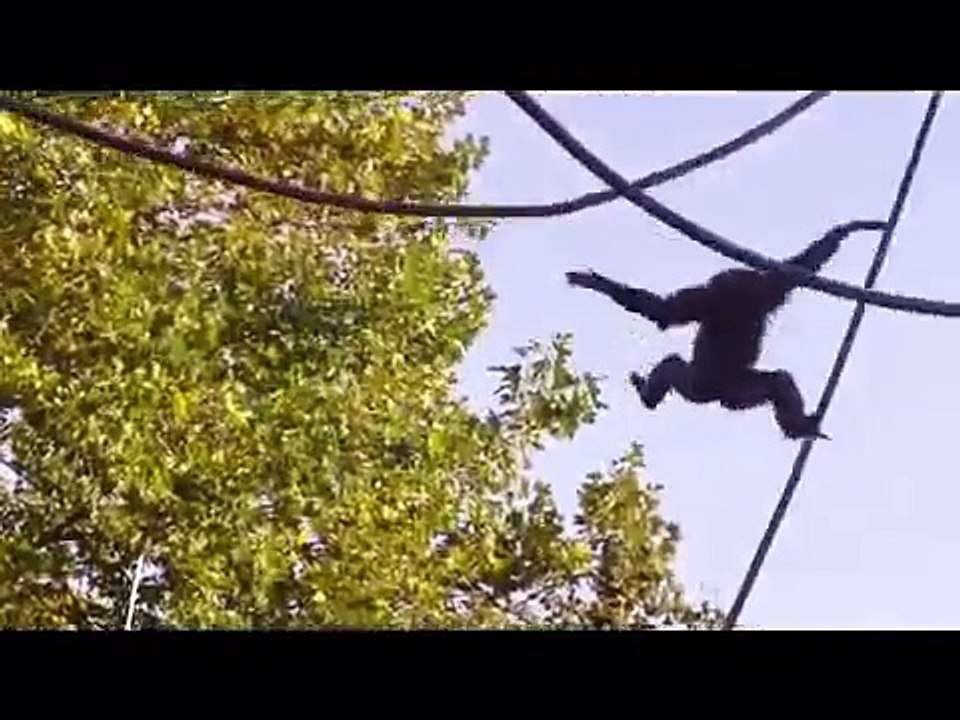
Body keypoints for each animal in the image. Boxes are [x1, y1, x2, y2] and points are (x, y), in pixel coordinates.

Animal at [565, 220, 887, 440]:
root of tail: (719, 397)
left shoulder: (730, 294)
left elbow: (664, 313)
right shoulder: (763, 289)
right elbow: (801, 267)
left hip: (712, 388)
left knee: (675, 365)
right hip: (729, 390)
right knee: (776, 383)